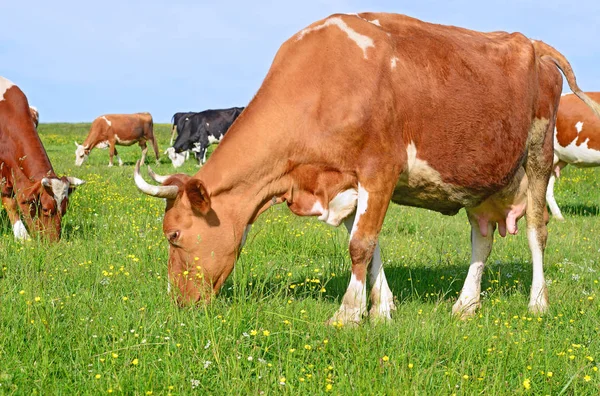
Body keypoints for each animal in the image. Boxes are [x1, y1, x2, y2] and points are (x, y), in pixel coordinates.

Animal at [0, 75, 85, 240]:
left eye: (64, 210)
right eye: (45, 209)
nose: (53, 243)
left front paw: (21, 236)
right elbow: (10, 202)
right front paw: (23, 236)